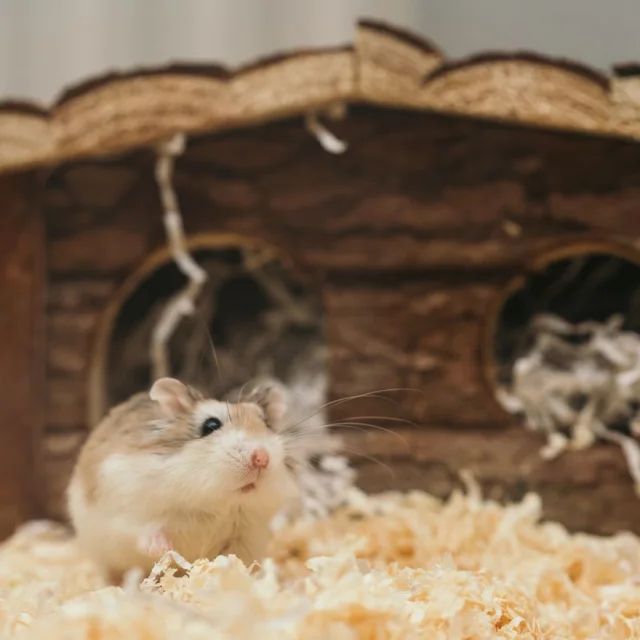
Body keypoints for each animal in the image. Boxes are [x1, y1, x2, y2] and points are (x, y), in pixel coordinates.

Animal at [66, 377, 300, 584]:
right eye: (210, 425)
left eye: (266, 424)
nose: (262, 457)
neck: (215, 502)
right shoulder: (127, 512)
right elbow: (144, 531)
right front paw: (163, 548)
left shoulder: (247, 537)